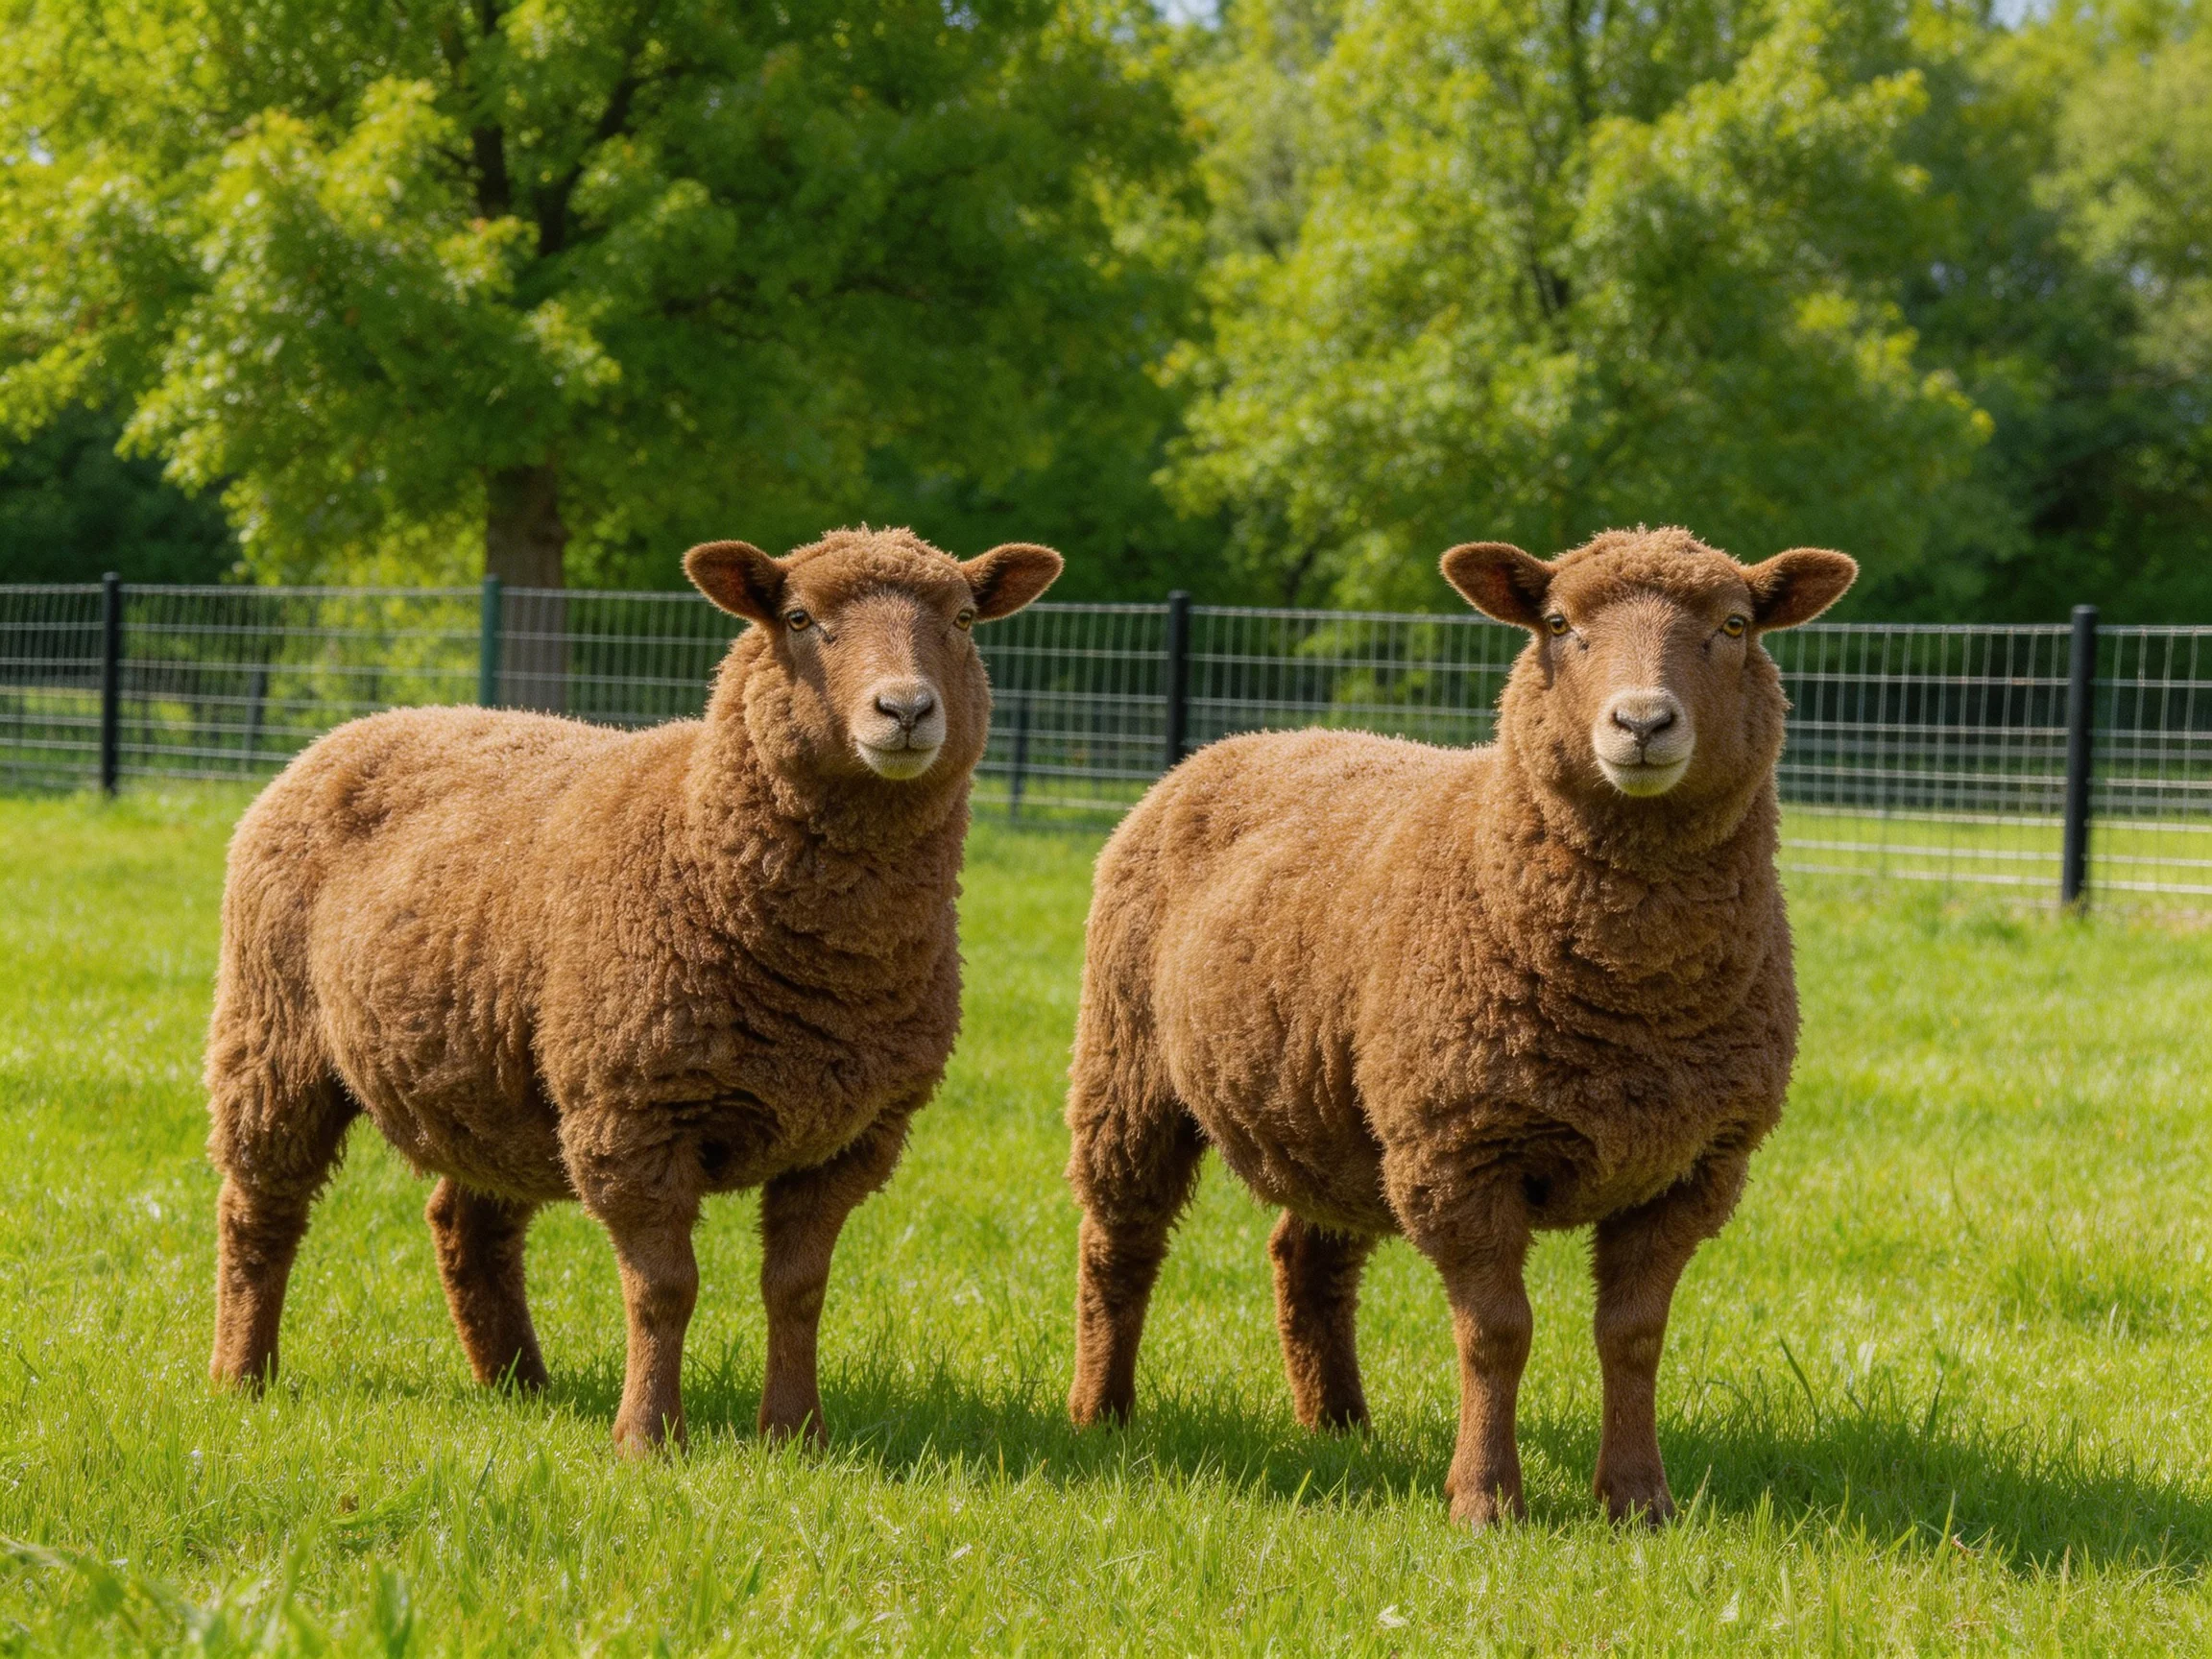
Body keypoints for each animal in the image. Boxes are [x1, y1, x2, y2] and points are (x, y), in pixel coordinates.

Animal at [205, 527, 1062, 1453]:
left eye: (965, 620)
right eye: (798, 618)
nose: (904, 710)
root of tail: (368, 725)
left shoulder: (852, 1138)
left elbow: (798, 1290)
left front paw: (795, 1434)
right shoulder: (632, 1116)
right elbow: (664, 1289)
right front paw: (648, 1439)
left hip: (490, 1077)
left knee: (469, 1227)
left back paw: (519, 1387)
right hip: (272, 1035)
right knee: (260, 1210)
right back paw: (241, 1377)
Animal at [1062, 527, 1855, 1528]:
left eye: (1737, 624)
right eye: (1557, 623)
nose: (1641, 724)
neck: (1633, 997)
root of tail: (1241, 741)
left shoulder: (1692, 1168)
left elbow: (1634, 1337)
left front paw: (1638, 1499)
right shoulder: (1460, 1150)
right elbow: (1496, 1333)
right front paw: (1485, 1500)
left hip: (1335, 1108)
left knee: (1307, 1258)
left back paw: (1340, 1426)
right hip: (1127, 1068)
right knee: (1119, 1245)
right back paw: (1102, 1412)